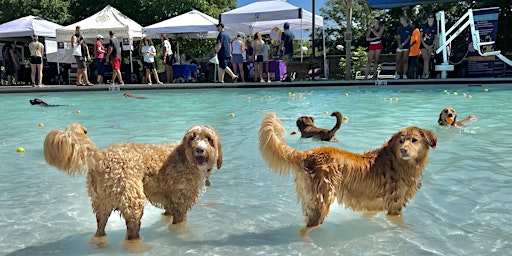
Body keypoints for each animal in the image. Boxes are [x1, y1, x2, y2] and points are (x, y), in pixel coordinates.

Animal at [42, 123, 222, 250]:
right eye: (192, 137)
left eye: (209, 139)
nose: (200, 149)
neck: (184, 156)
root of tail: (101, 157)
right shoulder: (181, 203)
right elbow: (179, 223)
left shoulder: (169, 201)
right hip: (132, 200)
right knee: (131, 234)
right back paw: (138, 246)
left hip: (101, 203)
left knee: (100, 228)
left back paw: (99, 242)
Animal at [260, 113, 436, 238]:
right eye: (401, 141)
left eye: (414, 140)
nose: (403, 150)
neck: (397, 161)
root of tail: (308, 154)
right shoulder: (394, 206)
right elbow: (400, 221)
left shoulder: (375, 204)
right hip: (321, 201)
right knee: (306, 229)